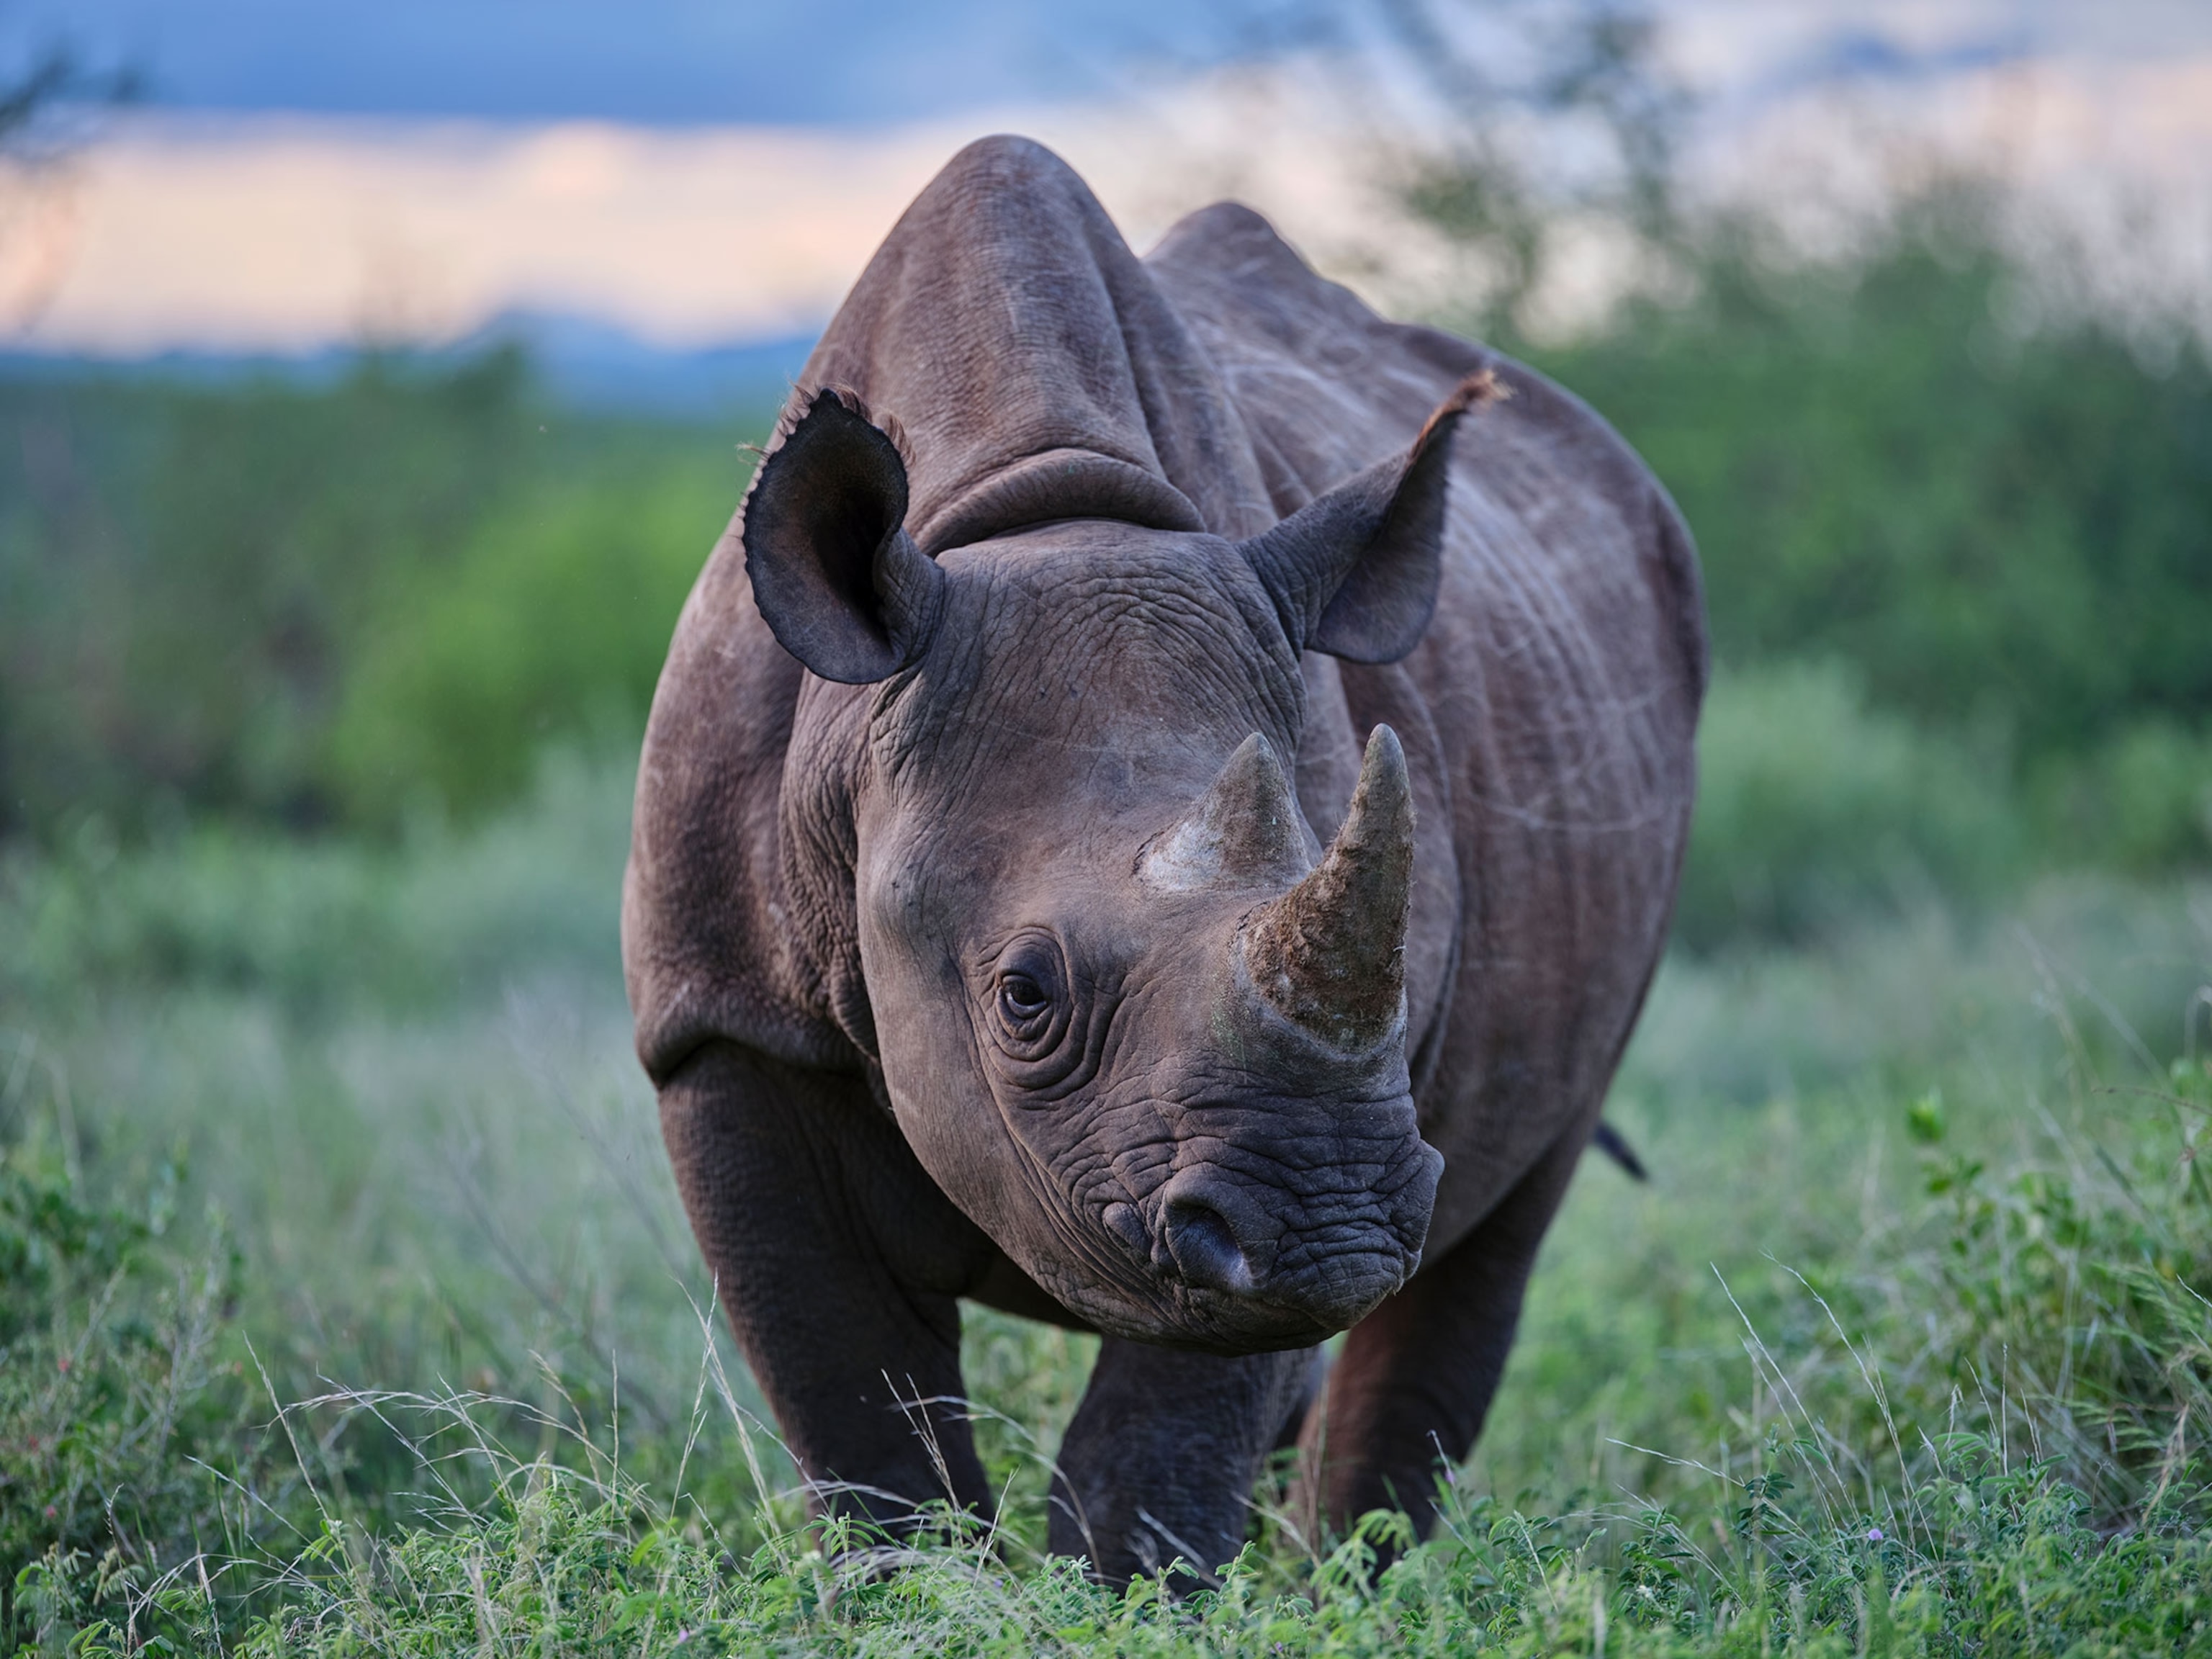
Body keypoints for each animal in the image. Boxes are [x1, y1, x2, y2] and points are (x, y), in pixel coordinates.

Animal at [623, 134, 1704, 1583]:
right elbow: (859, 1420)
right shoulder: (721, 1023)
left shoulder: (1268, 1154)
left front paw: (1128, 1603)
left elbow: (1152, 1448)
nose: (1331, 1224)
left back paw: (1351, 1588)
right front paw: (923, 1596)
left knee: (1495, 1229)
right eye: (1023, 993)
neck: (1032, 511)